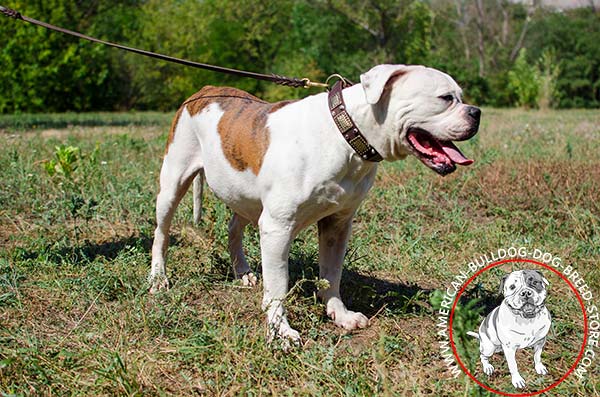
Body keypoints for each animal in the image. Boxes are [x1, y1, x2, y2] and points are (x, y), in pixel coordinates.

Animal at [148, 64, 480, 344]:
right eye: (445, 98)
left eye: (461, 97)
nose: (476, 112)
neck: (348, 134)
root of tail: (204, 90)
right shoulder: (277, 227)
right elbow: (278, 285)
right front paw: (281, 330)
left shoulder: (338, 224)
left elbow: (331, 273)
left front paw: (339, 314)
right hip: (173, 183)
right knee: (161, 233)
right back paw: (158, 278)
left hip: (245, 196)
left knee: (234, 227)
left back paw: (242, 272)